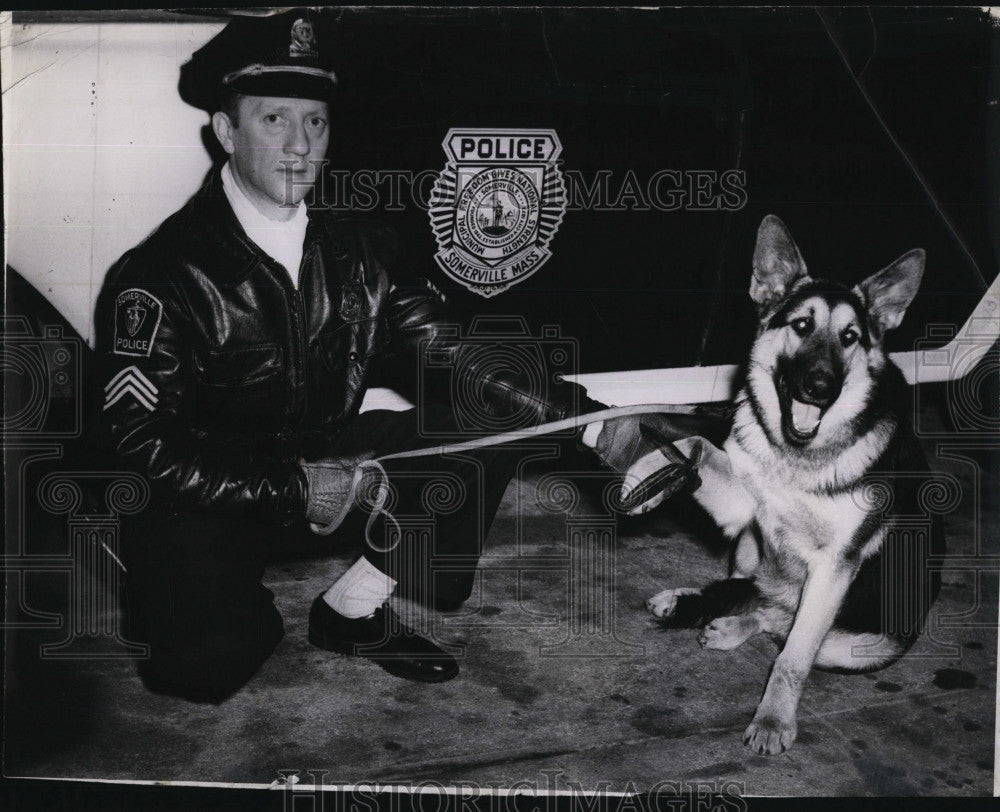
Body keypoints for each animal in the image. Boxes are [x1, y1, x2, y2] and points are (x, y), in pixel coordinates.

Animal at [640, 214, 944, 756]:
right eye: (802, 325)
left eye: (850, 336)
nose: (820, 388)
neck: (797, 456)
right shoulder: (739, 510)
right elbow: (701, 450)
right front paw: (660, 445)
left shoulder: (833, 568)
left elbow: (793, 658)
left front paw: (774, 720)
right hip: (748, 547)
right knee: (763, 598)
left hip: (860, 643)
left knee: (785, 625)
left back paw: (732, 621)